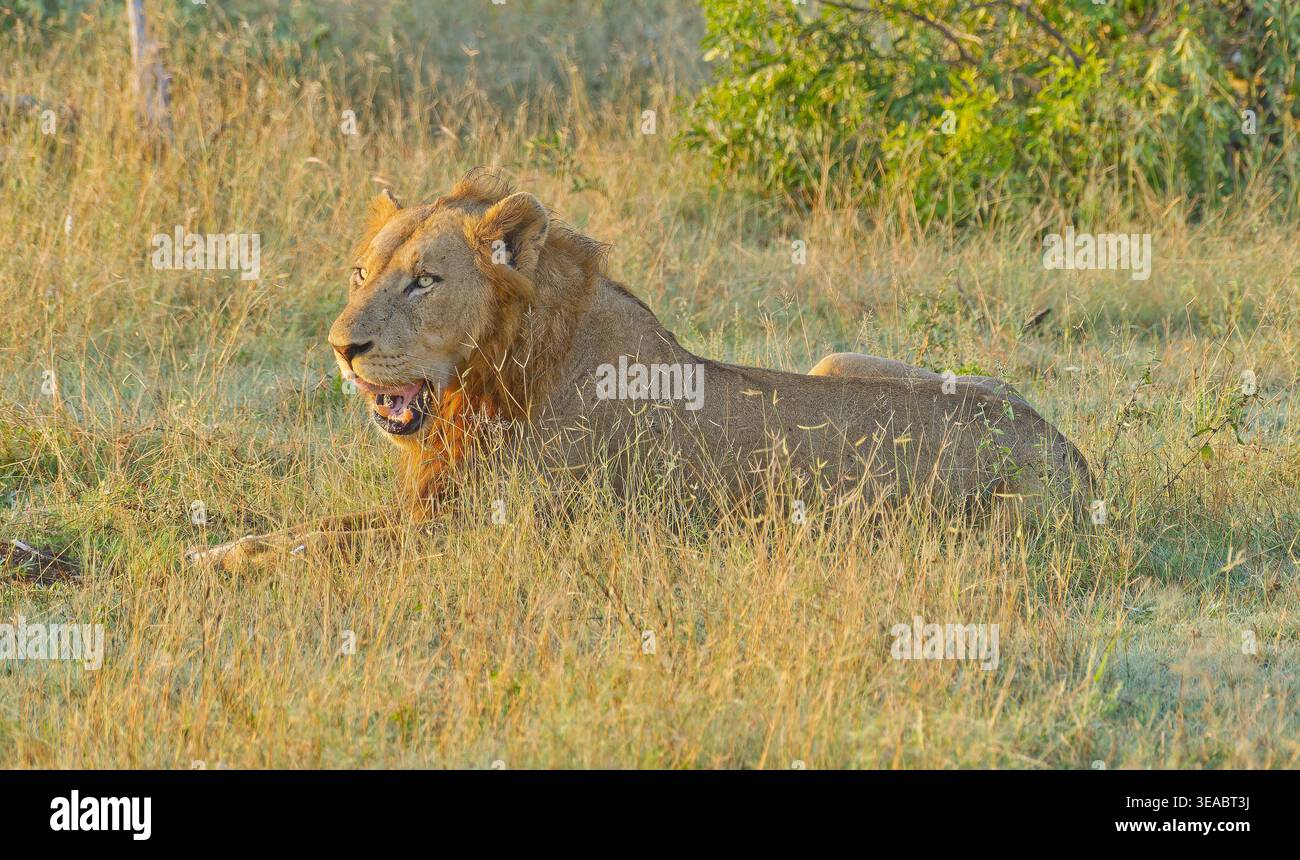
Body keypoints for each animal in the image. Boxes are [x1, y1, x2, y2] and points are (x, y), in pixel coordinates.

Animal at [186, 174, 1092, 570]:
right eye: (358, 273)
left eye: (423, 281)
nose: (342, 349)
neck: (493, 377)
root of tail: (1071, 455)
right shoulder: (433, 507)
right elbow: (314, 528)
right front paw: (213, 549)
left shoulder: (489, 532)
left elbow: (322, 545)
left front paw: (215, 564)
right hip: (838, 356)